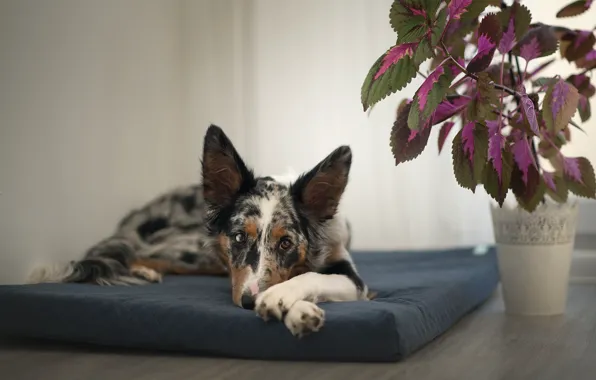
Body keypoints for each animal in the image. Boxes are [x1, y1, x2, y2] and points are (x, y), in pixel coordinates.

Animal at [31, 124, 372, 336]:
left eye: (286, 243)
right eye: (239, 236)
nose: (248, 303)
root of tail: (139, 214)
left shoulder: (352, 278)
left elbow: (308, 275)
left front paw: (290, 304)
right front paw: (287, 304)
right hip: (194, 249)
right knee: (136, 253)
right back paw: (143, 270)